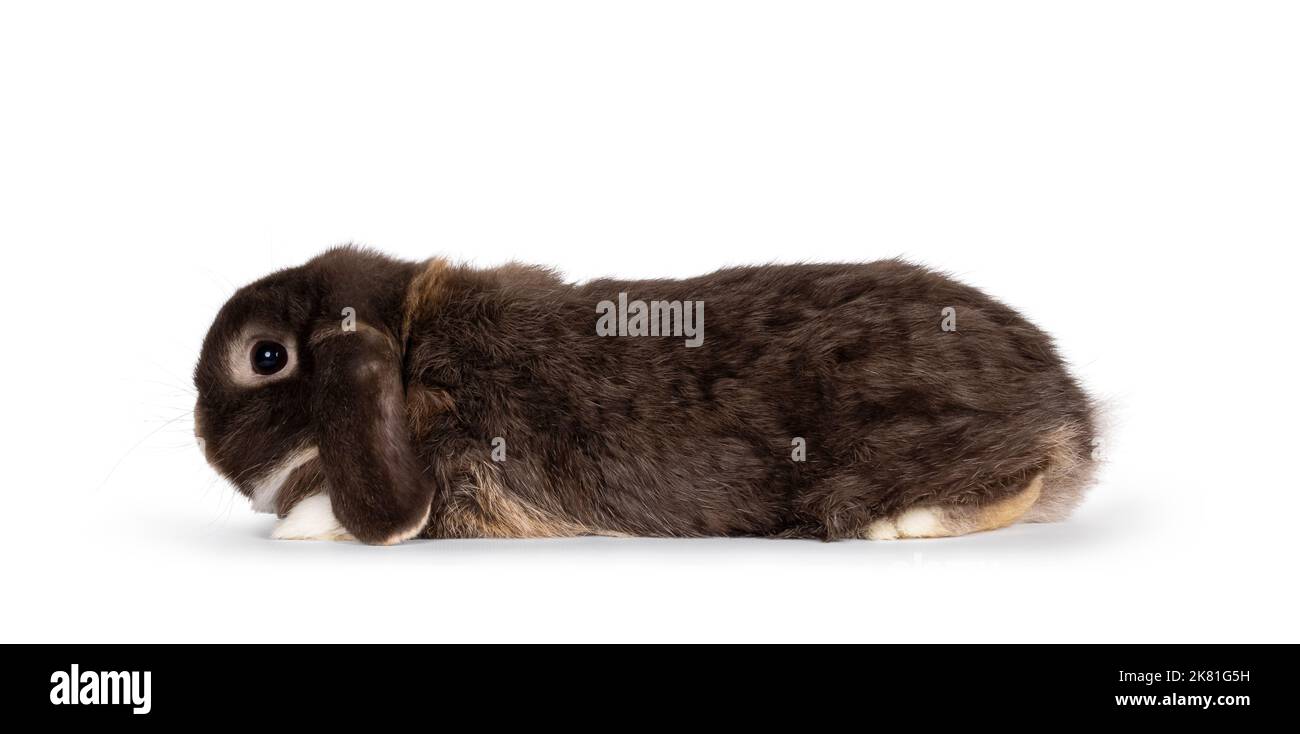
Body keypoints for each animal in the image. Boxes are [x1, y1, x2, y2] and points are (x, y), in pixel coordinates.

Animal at [194, 246, 1098, 544]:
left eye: (266, 356)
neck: (413, 351)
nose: (201, 432)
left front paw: (301, 528)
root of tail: (1073, 414)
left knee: (1014, 483)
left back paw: (899, 525)